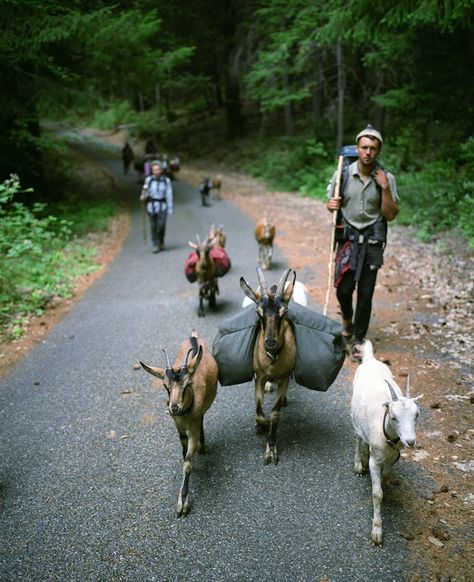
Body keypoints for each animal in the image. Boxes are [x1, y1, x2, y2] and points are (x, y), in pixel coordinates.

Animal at [139, 330, 217, 516]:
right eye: (165, 386)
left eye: (188, 384)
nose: (174, 407)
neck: (185, 415)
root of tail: (193, 336)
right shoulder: (178, 426)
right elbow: (183, 450)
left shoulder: (193, 428)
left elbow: (188, 462)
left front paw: (183, 503)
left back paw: (203, 447)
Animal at [241, 268, 296, 466]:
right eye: (258, 312)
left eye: (284, 312)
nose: (270, 343)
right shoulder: (260, 376)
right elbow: (258, 408)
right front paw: (261, 424)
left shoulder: (285, 378)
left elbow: (275, 414)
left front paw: (271, 449)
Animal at [350, 340, 424, 548]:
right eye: (393, 417)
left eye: (417, 415)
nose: (410, 441)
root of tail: (370, 359)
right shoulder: (376, 461)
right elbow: (377, 494)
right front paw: (377, 532)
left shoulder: (393, 457)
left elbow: (387, 475)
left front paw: (385, 482)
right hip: (354, 417)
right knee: (358, 438)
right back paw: (358, 464)